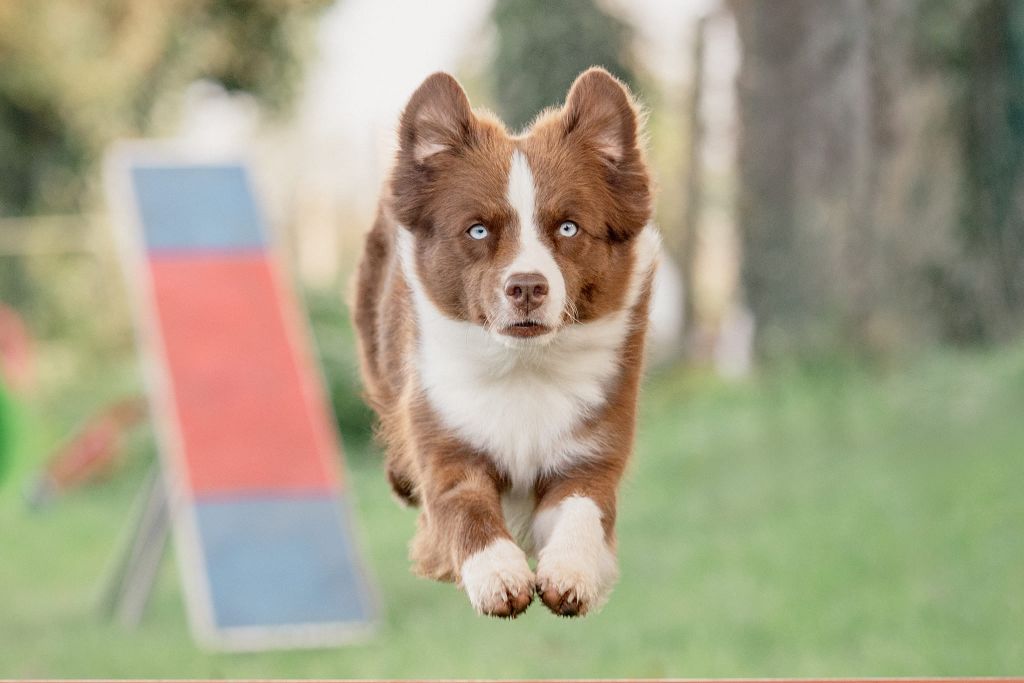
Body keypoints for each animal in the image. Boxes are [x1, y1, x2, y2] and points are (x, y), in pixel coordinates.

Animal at [352, 66, 655, 618]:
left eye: (568, 227)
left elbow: (584, 508)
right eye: (477, 231)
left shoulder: (591, 447)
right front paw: (497, 574)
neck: (522, 364)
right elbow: (463, 507)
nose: (527, 287)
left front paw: (572, 572)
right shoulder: (445, 439)